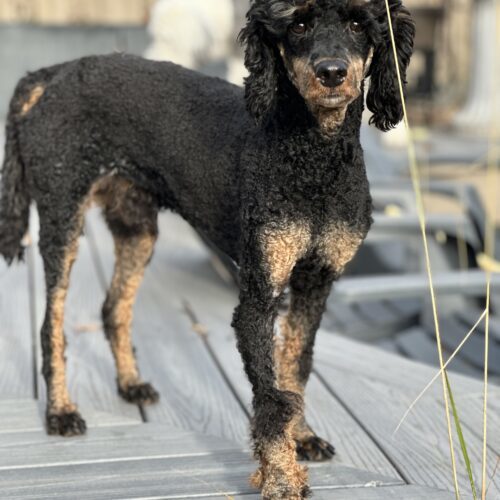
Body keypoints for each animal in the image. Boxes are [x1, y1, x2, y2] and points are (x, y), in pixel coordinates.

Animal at [0, 1, 414, 498]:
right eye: (297, 23)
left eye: (358, 23)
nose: (331, 73)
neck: (314, 159)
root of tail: (52, 74)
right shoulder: (259, 294)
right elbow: (270, 398)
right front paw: (281, 476)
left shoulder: (315, 283)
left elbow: (295, 367)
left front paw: (302, 438)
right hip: (62, 218)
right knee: (52, 324)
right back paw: (60, 411)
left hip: (136, 227)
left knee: (113, 307)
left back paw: (130, 383)